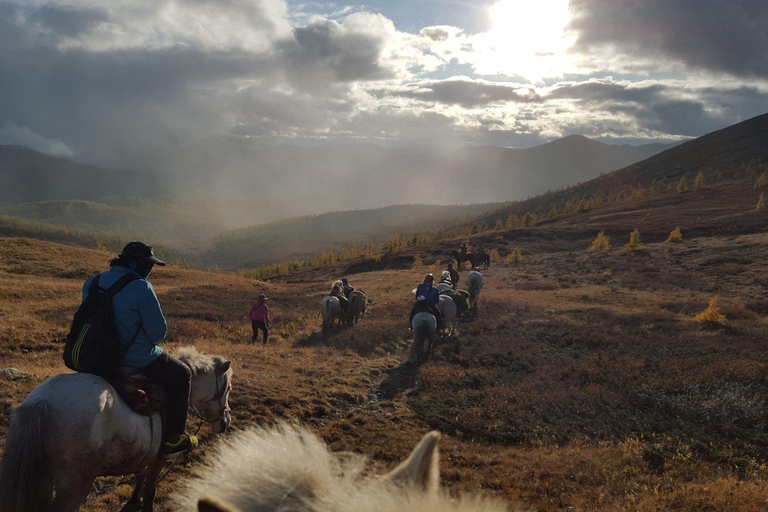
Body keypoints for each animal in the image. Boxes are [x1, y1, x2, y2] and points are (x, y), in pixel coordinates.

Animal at [0, 346, 234, 512]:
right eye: (228, 388)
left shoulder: (144, 451)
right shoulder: (158, 457)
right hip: (73, 486)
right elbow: (150, 489)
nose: (225, 422)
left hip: (44, 482)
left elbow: (139, 475)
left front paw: (135, 500)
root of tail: (41, 403)